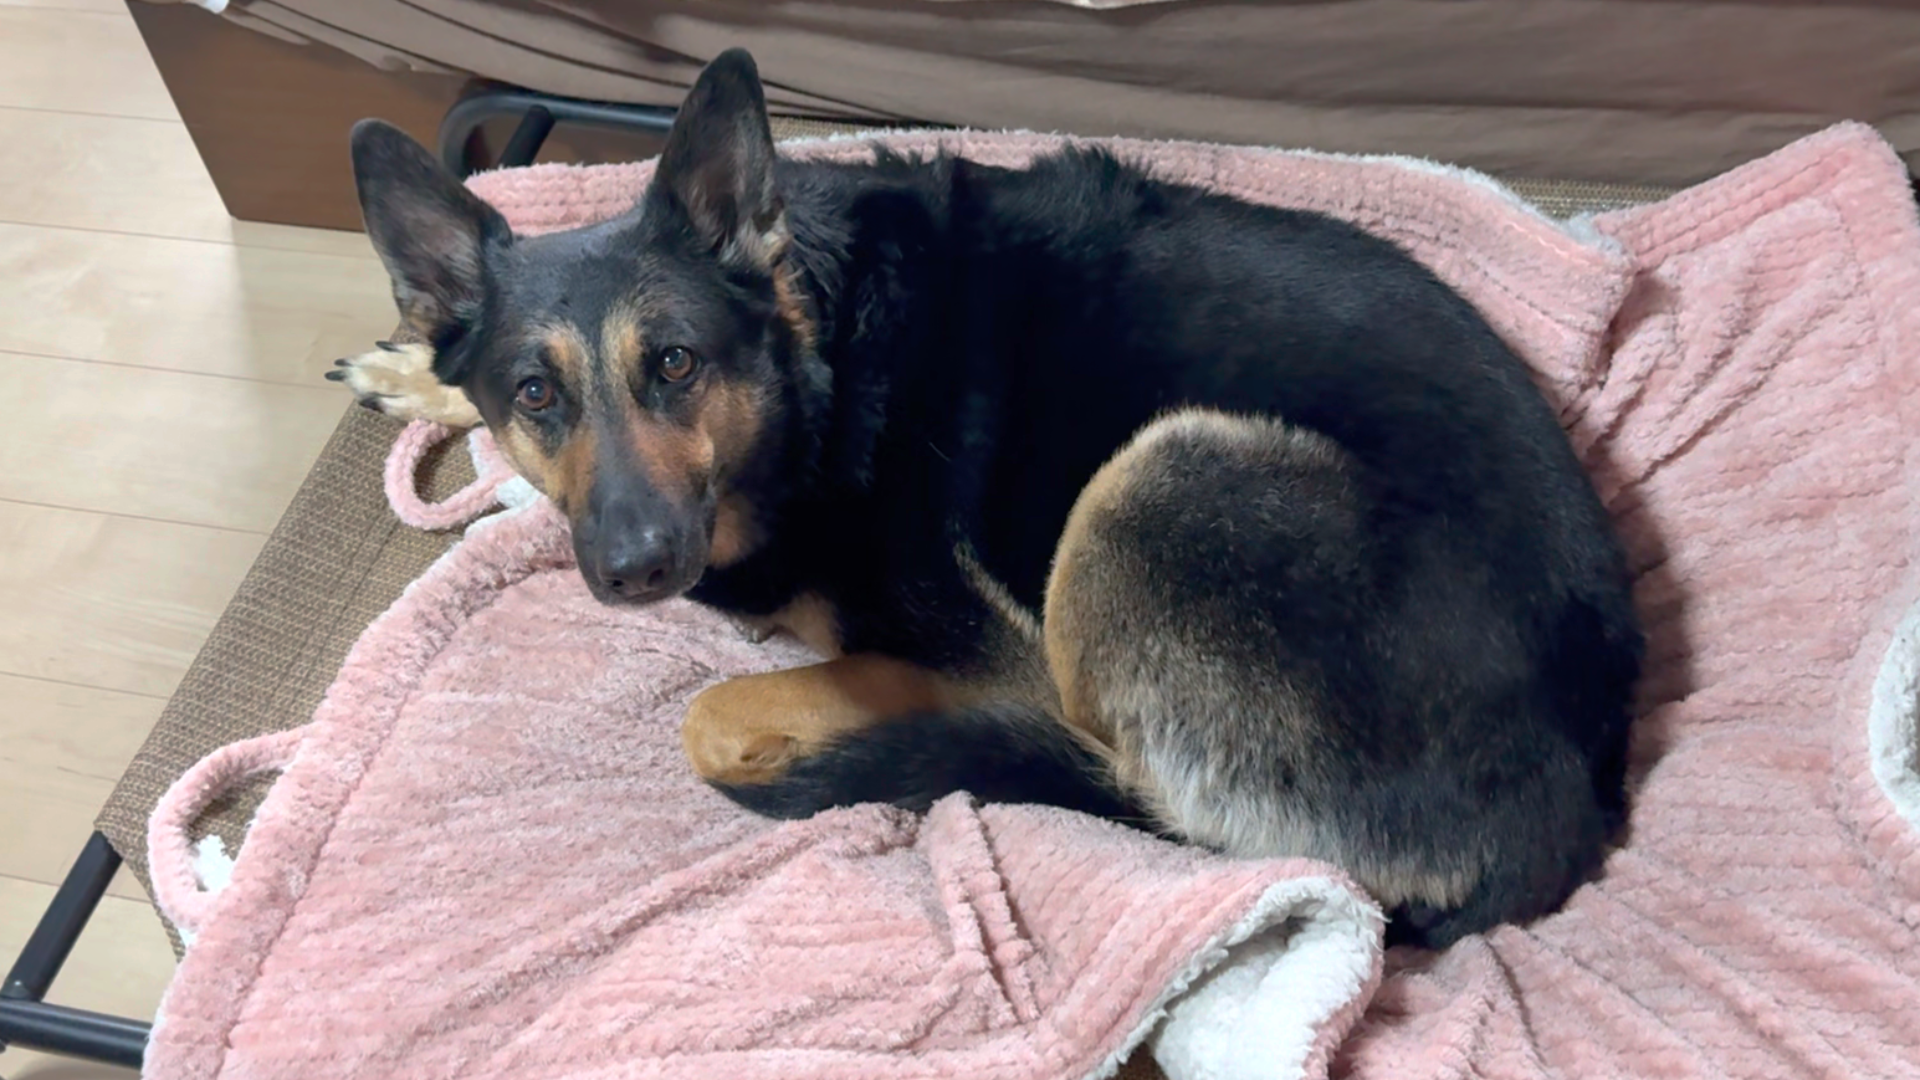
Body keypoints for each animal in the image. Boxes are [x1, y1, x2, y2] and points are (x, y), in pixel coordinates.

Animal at [334, 48, 1642, 948]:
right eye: (534, 392)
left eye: (676, 364)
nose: (634, 567)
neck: (813, 348)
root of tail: (1570, 815)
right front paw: (409, 370)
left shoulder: (995, 650)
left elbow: (710, 715)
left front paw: (797, 730)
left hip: (1159, 485)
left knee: (1081, 761)